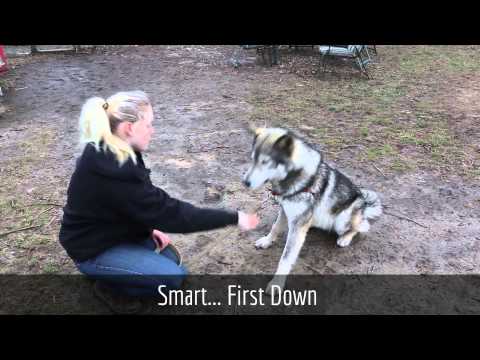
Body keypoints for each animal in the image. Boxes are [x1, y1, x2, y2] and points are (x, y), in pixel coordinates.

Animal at [244, 126, 382, 292]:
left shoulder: (297, 226)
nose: (245, 182)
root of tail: (364, 205)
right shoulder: (285, 210)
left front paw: (276, 284)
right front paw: (267, 241)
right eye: (252, 159)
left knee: (362, 227)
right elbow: (275, 227)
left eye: (265, 162)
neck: (295, 176)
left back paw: (345, 238)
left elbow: (285, 258)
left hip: (342, 221)